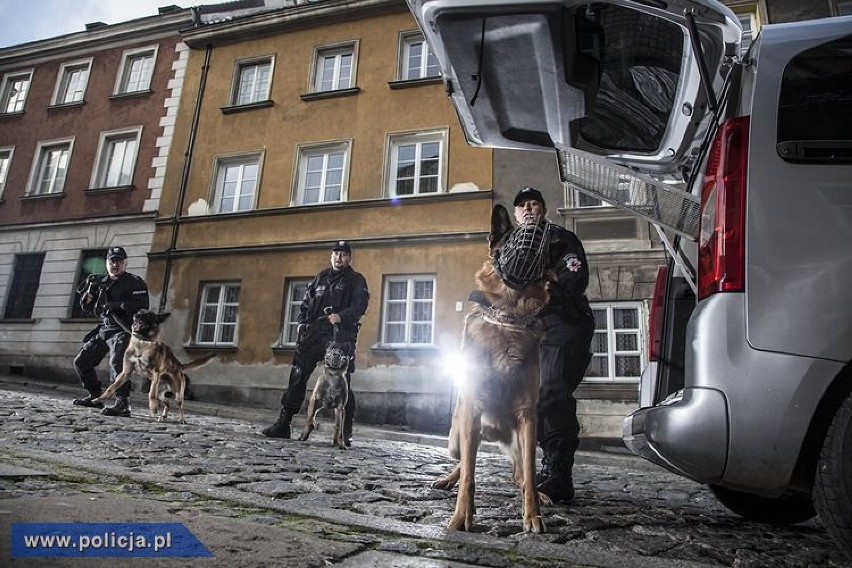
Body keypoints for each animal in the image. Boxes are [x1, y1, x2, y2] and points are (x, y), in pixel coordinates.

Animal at [72, 245, 149, 418]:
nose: (115, 264)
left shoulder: (138, 286)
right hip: (99, 338)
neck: (115, 279)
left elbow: (140, 302)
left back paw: (121, 408)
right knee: (82, 362)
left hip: (120, 340)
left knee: (118, 366)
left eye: (119, 260)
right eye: (112, 260)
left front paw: (110, 305)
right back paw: (94, 399)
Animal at [262, 239, 370, 444]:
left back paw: (346, 435)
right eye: (337, 253)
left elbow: (358, 301)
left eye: (344, 254)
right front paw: (281, 427)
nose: (339, 257)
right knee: (299, 372)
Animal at [432, 206, 552, 536]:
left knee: (520, 474)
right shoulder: (472, 410)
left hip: (520, 440)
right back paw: (448, 479)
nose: (534, 232)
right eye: (512, 237)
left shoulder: (528, 416)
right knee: (464, 463)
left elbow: (531, 474)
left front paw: (532, 515)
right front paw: (463, 515)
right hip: (458, 436)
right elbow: (470, 476)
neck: (508, 318)